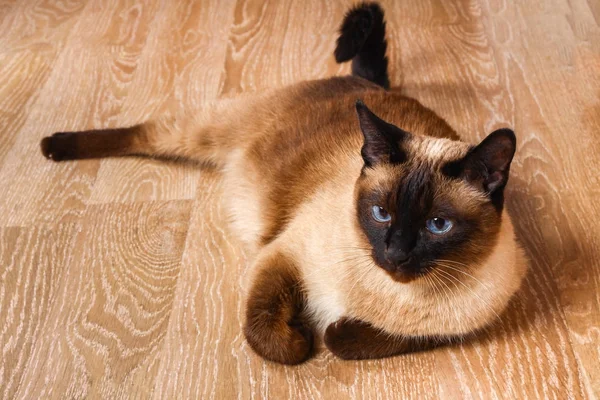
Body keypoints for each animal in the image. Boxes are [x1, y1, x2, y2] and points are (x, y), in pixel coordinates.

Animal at [39, 2, 528, 366]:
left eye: (437, 226)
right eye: (380, 213)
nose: (395, 254)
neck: (390, 293)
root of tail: (365, 82)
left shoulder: (447, 331)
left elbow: (348, 338)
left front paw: (329, 330)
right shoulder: (281, 255)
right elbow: (269, 338)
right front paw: (300, 338)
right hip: (213, 128)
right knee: (146, 133)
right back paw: (51, 145)